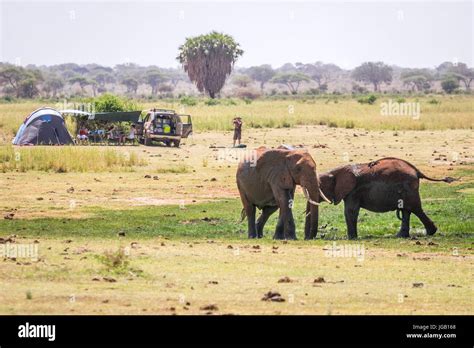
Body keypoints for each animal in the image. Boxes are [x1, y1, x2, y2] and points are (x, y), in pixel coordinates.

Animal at [310, 158, 458, 239]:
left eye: (320, 187)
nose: (311, 237)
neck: (335, 171)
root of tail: (417, 171)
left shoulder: (353, 191)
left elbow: (350, 211)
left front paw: (351, 238)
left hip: (409, 187)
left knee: (415, 208)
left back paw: (430, 232)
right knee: (407, 210)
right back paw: (400, 236)